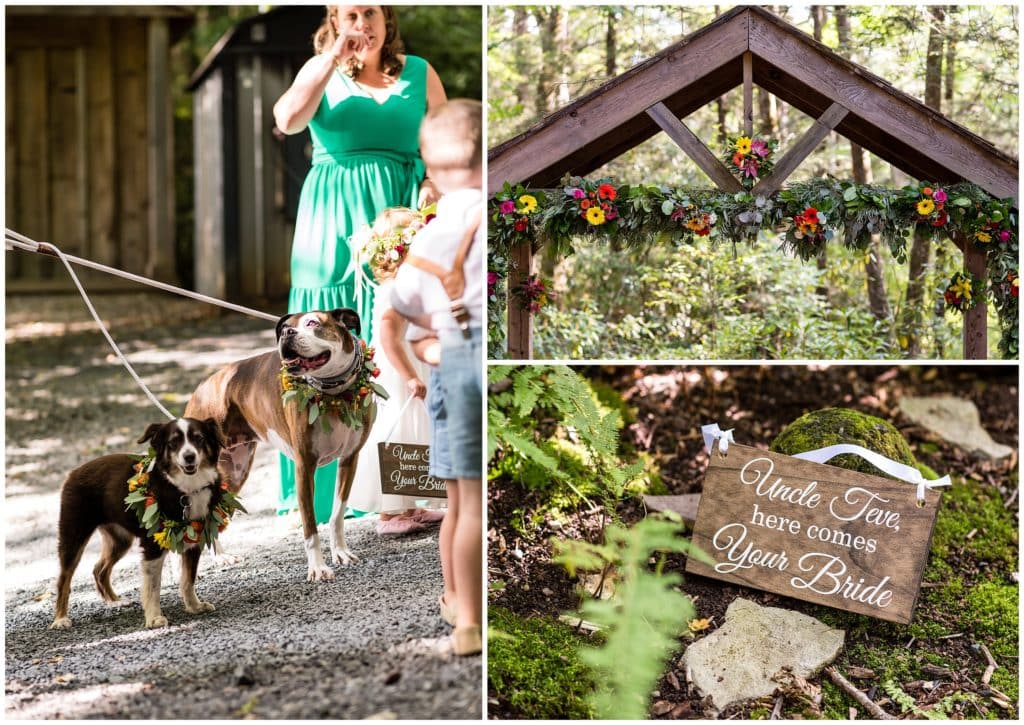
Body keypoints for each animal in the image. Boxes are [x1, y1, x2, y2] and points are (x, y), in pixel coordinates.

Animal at [50, 415, 227, 630]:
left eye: (199, 438)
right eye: (173, 442)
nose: (189, 457)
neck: (186, 489)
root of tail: (74, 472)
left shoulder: (195, 537)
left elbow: (188, 580)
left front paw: (194, 606)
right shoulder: (153, 546)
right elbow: (153, 587)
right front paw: (154, 618)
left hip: (119, 540)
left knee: (99, 569)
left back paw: (116, 601)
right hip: (74, 535)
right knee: (64, 579)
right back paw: (60, 619)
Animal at [184, 309, 376, 581]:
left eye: (312, 323)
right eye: (285, 327)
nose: (287, 333)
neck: (334, 394)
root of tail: (202, 387)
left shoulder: (350, 459)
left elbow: (338, 514)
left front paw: (340, 552)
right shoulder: (304, 467)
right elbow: (310, 526)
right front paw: (318, 568)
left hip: (233, 474)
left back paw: (220, 556)